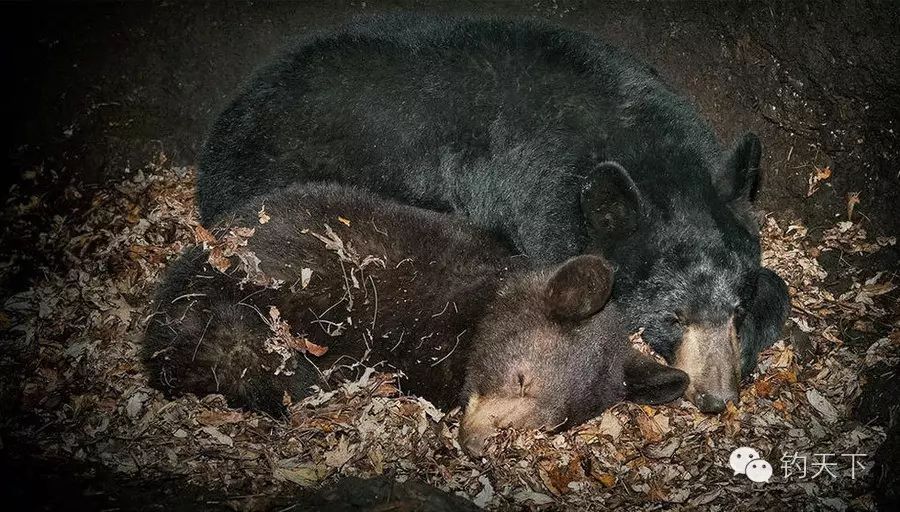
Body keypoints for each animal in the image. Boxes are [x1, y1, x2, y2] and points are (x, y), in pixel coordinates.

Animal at [197, 14, 788, 412]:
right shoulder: (536, 200)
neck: (635, 145)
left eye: (735, 310)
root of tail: (221, 136)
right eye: (672, 317)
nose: (717, 397)